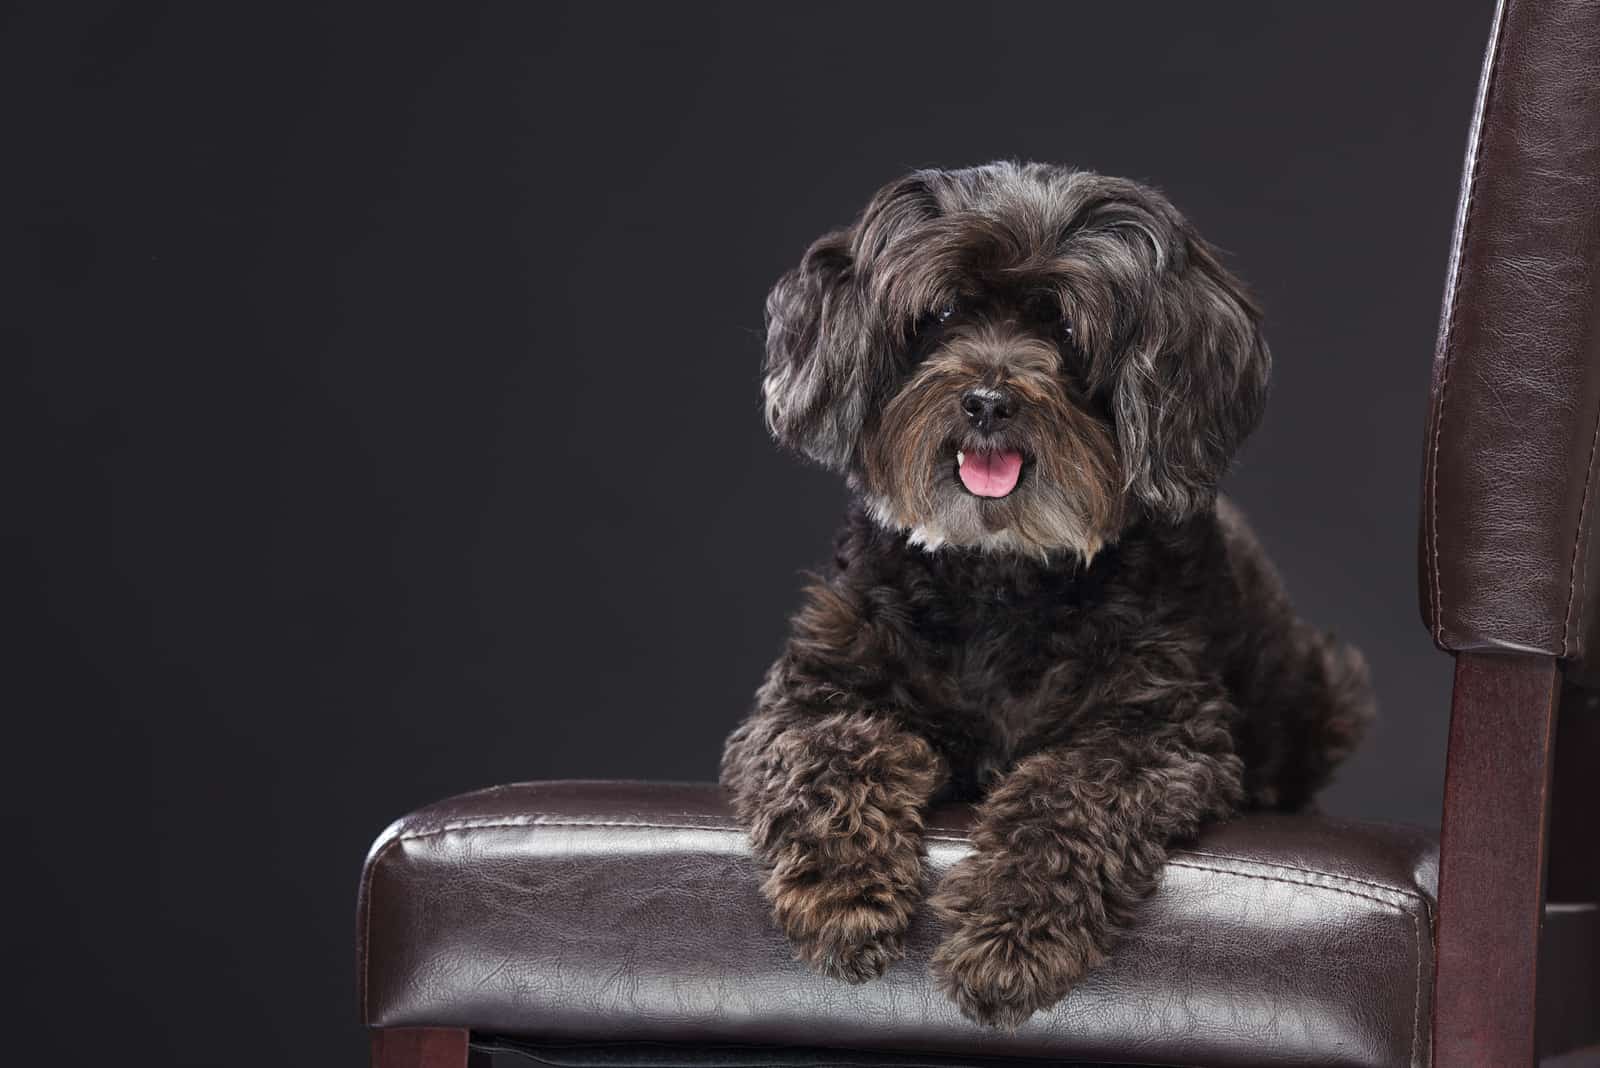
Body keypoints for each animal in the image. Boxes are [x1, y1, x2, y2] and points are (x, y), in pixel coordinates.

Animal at [720, 163, 1369, 1029]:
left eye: (1062, 327)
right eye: (943, 312)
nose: (988, 399)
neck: (1000, 577)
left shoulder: (1158, 734)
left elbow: (1066, 798)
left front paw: (1008, 936)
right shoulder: (807, 695)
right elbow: (828, 758)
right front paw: (844, 898)